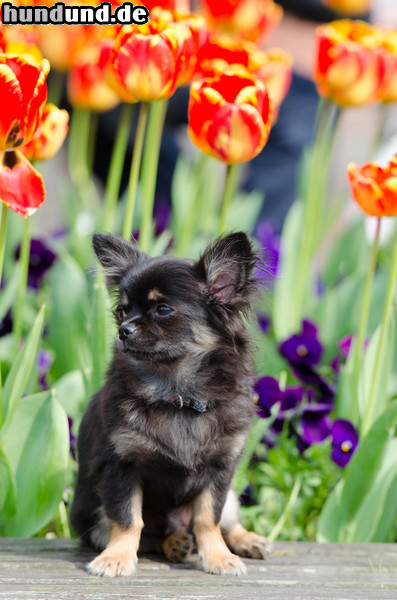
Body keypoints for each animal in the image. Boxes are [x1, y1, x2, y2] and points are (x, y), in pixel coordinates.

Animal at [71, 231, 270, 576]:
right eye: (122, 311)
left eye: (163, 310)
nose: (124, 331)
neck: (178, 395)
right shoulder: (121, 465)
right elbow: (127, 519)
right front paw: (116, 557)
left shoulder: (221, 468)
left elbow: (208, 518)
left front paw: (218, 557)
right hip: (92, 519)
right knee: (154, 535)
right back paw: (176, 544)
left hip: (232, 494)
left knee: (226, 522)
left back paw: (246, 540)